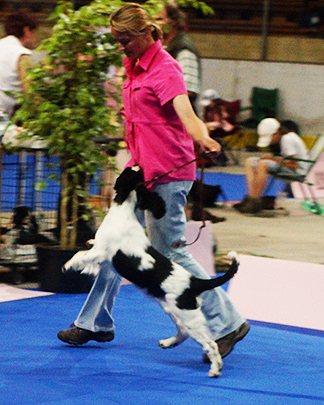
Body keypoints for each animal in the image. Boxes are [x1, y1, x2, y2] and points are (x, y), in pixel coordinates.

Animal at [62, 166, 238, 378]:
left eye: (130, 172)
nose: (138, 165)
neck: (124, 211)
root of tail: (194, 282)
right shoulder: (102, 253)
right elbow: (89, 254)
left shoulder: (102, 250)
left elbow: (81, 254)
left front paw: (69, 265)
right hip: (173, 310)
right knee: (183, 332)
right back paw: (168, 343)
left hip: (188, 316)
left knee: (210, 344)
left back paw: (214, 370)